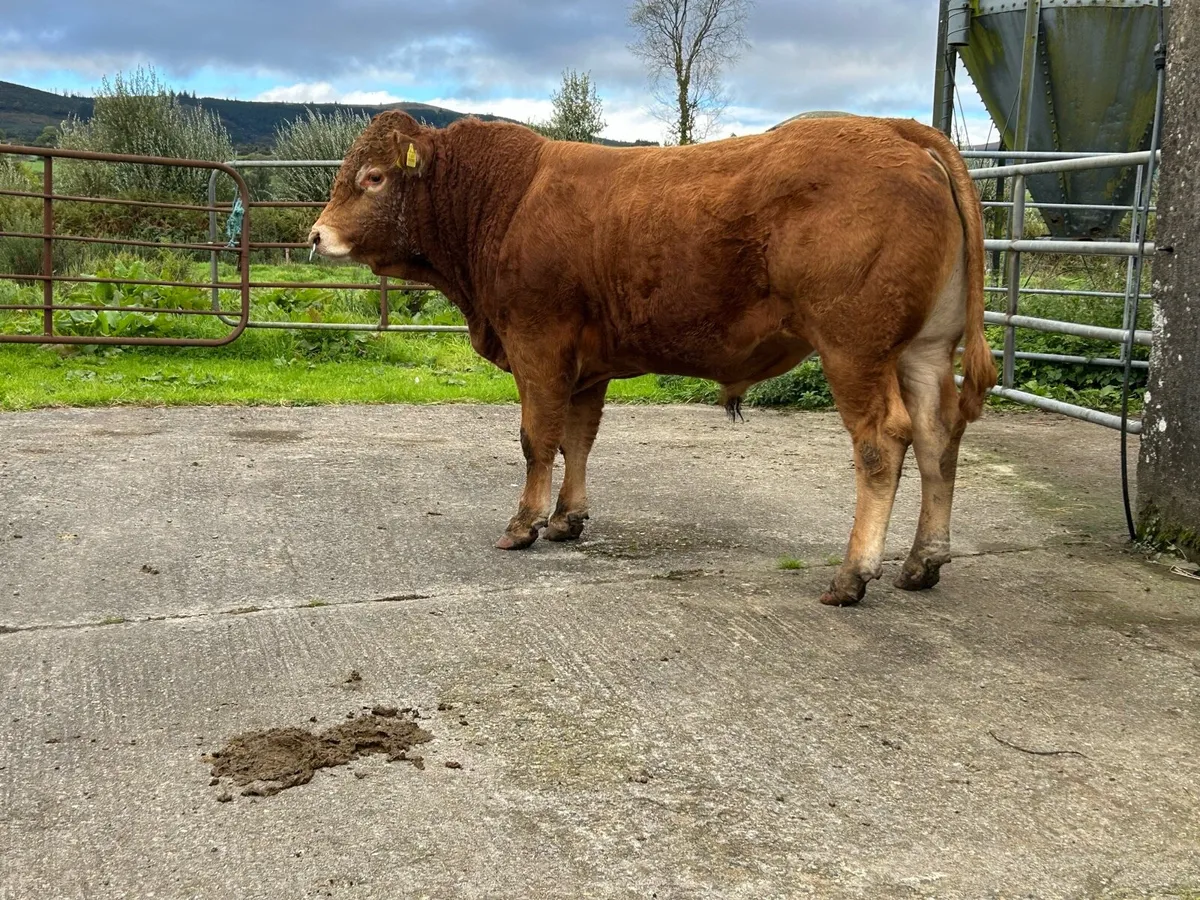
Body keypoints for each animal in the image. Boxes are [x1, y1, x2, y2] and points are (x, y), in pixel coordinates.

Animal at [309, 110, 996, 606]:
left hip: (854, 348)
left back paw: (853, 575)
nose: (316, 235)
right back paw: (923, 561)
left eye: (373, 177)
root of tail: (896, 129)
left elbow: (537, 438)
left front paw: (524, 522)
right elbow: (577, 439)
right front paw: (567, 518)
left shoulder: (538, 342)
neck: (502, 201)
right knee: (938, 438)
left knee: (883, 442)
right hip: (924, 350)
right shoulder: (587, 364)